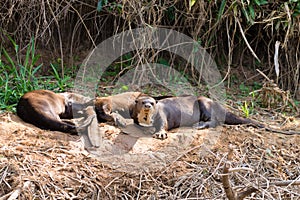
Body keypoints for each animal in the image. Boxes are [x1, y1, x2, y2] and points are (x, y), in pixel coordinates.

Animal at [131, 95, 300, 139]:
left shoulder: (162, 115)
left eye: (153, 103)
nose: (148, 106)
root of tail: (220, 106)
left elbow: (162, 125)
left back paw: (199, 125)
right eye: (142, 102)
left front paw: (160, 133)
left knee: (215, 122)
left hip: (204, 103)